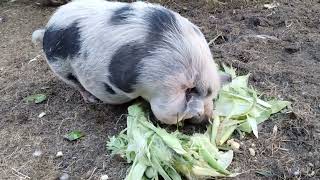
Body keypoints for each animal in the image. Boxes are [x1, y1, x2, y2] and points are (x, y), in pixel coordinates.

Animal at [31, 0, 230, 124]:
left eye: (213, 98)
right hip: (60, 67)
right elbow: (165, 114)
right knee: (76, 84)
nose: (208, 119)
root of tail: (47, 30)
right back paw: (92, 99)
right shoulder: (164, 92)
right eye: (200, 103)